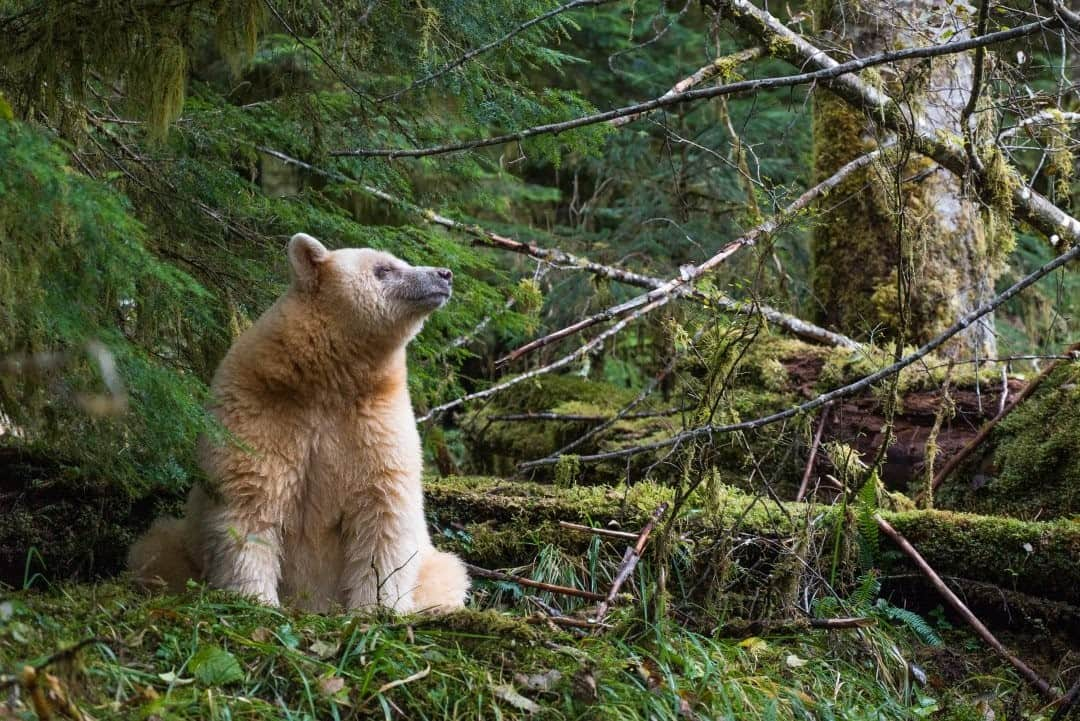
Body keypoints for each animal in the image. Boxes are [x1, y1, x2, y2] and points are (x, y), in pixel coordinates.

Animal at [126, 234, 468, 613]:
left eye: (398, 261)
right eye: (384, 268)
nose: (444, 274)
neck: (328, 378)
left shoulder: (375, 419)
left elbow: (383, 506)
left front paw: (376, 607)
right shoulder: (262, 407)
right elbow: (251, 498)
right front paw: (256, 599)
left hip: (434, 565)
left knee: (451, 571)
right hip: (182, 546)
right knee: (154, 549)